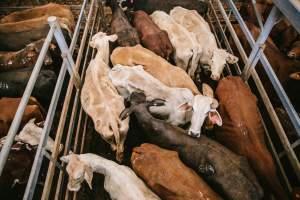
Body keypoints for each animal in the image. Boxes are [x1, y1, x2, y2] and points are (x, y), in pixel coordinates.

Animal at [81, 32, 129, 162]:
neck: (99, 59)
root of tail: (112, 121)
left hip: (105, 133)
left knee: (115, 146)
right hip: (124, 127)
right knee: (120, 147)